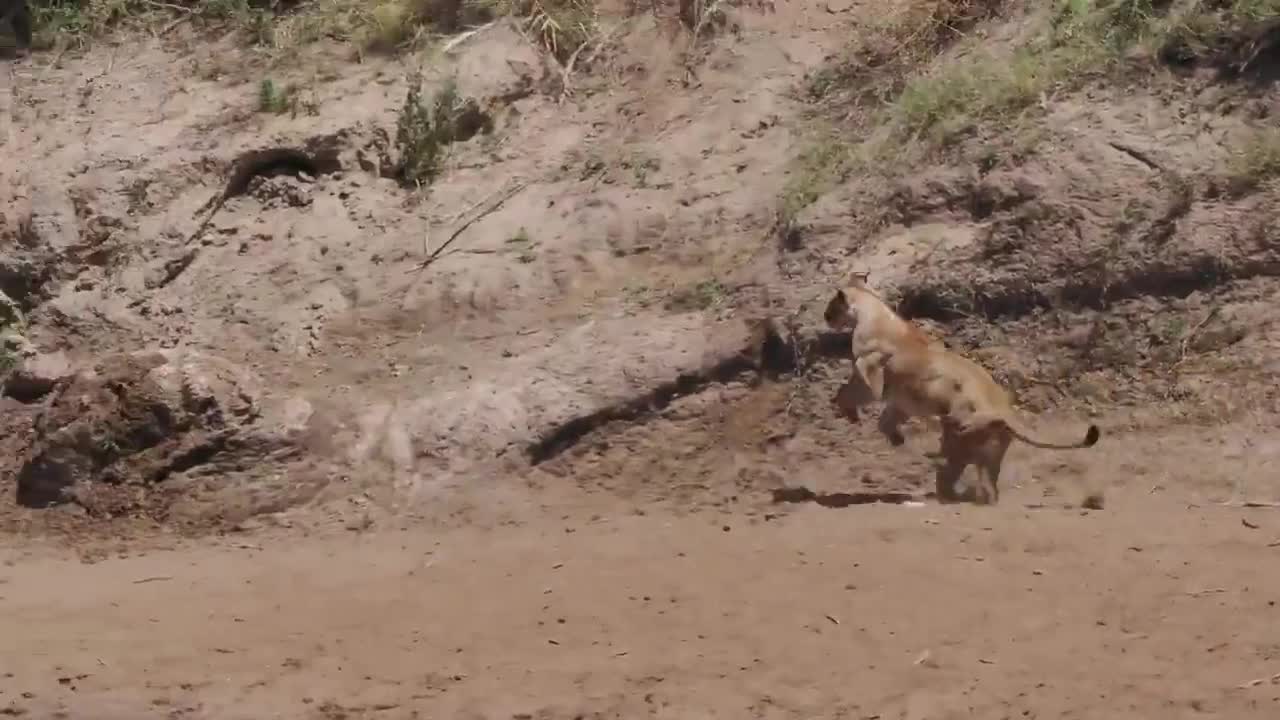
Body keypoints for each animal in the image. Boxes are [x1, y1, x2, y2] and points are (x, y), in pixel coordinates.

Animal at [823, 274, 1100, 505]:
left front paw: (851, 413)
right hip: (988, 456)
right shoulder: (902, 399)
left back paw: (943, 495)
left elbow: (847, 393)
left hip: (956, 434)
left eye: (832, 304)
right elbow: (887, 418)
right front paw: (896, 438)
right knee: (988, 490)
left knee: (950, 476)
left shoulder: (869, 375)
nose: (825, 316)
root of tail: (1006, 413)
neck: (873, 310)